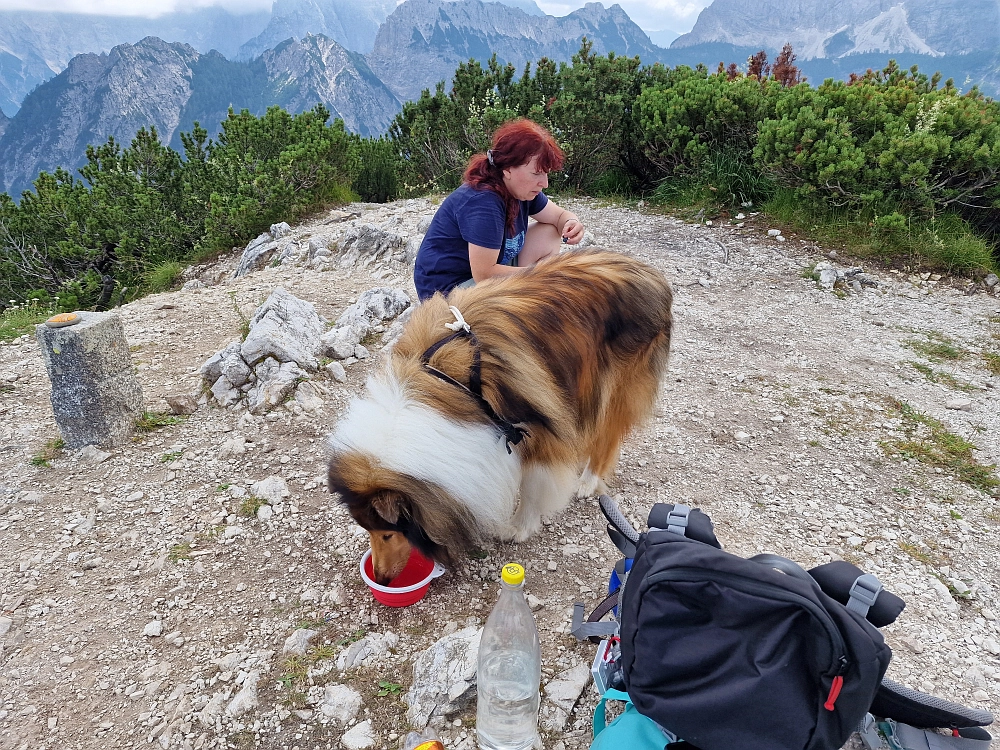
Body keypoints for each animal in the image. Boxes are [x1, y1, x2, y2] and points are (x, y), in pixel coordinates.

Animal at [326, 250, 672, 584]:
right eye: (368, 530)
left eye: (388, 532)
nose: (381, 578)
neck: (443, 380)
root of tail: (651, 273)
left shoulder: (541, 431)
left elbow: (533, 485)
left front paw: (518, 527)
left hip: (611, 386)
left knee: (607, 437)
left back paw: (588, 480)